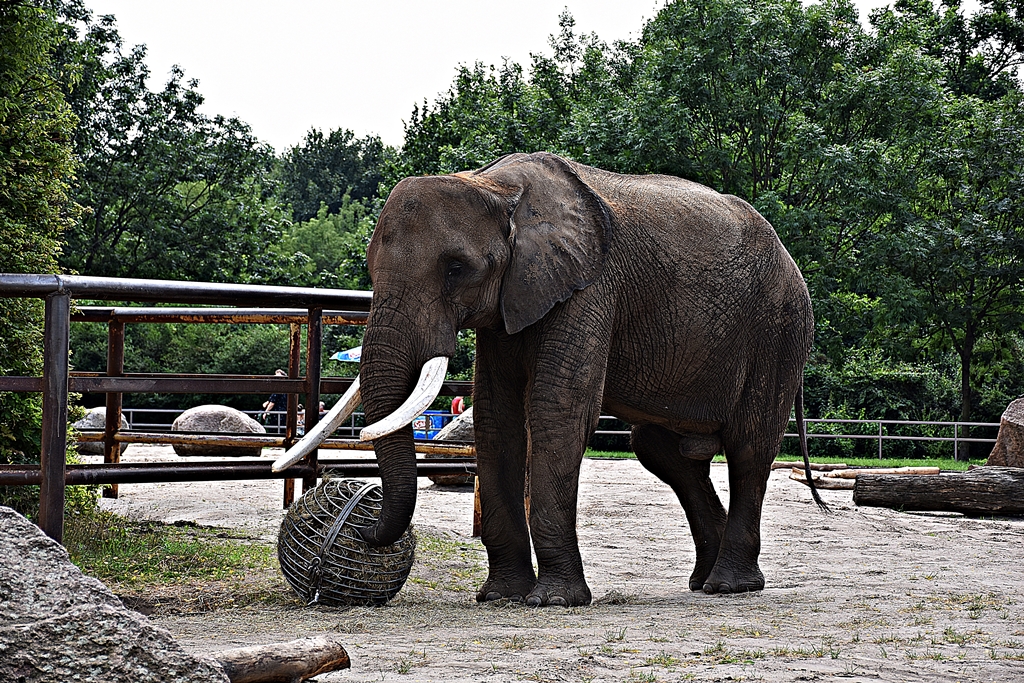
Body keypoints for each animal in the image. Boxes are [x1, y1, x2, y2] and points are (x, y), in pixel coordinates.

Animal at [275, 151, 819, 606]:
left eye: (456, 269)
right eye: (369, 267)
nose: (361, 527)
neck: (496, 186)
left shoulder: (589, 287)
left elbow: (556, 411)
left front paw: (554, 601)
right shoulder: (511, 303)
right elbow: (496, 418)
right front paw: (500, 596)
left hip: (778, 329)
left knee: (748, 446)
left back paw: (730, 586)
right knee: (663, 452)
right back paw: (703, 580)